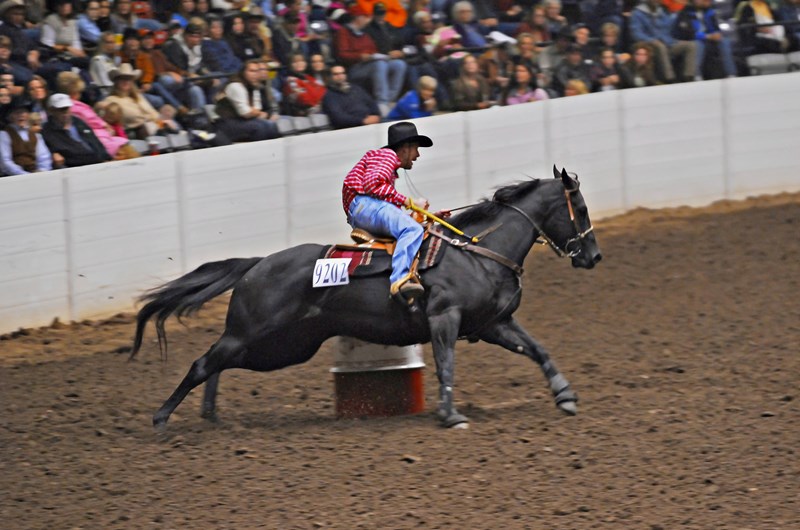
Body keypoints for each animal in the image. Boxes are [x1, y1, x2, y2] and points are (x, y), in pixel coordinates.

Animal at [131, 166, 602, 429]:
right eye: (578, 206)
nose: (593, 256)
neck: (479, 252)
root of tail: (257, 264)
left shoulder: (493, 324)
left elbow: (537, 349)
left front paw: (565, 395)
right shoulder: (444, 319)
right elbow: (446, 364)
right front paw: (450, 415)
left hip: (283, 346)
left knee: (218, 364)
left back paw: (211, 416)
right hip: (256, 334)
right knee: (203, 362)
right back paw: (161, 418)